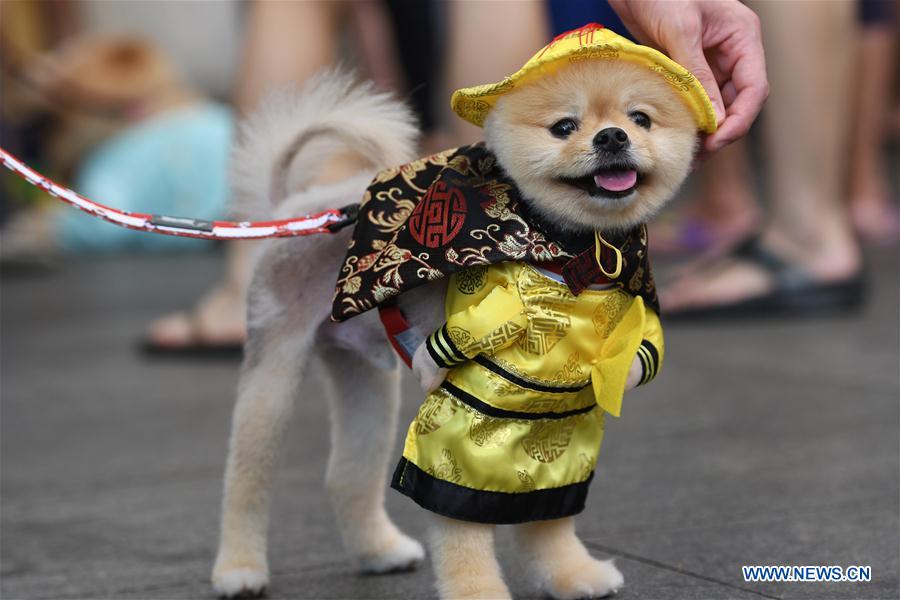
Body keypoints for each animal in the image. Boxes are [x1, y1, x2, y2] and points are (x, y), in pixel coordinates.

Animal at [213, 25, 712, 596]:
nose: (611, 137)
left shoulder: (563, 419)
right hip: (273, 368)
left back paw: (380, 550)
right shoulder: (461, 418)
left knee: (346, 473)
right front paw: (479, 591)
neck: (569, 251)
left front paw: (573, 574)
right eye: (564, 127)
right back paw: (239, 570)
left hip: (364, 378)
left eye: (641, 119)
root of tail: (294, 207)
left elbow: (548, 516)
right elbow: (461, 528)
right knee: (246, 476)